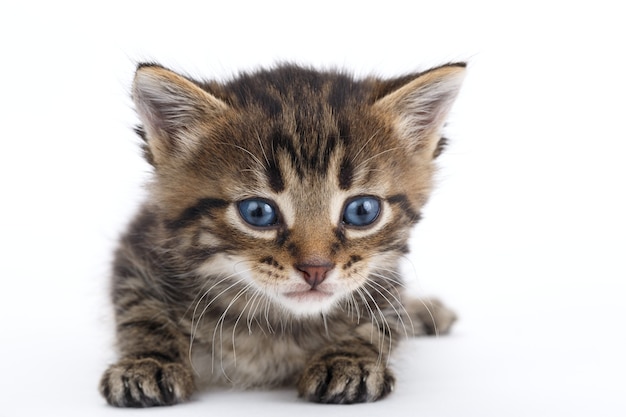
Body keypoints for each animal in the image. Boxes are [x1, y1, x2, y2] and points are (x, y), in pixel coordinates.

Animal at [98, 62, 464, 406]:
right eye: (257, 213)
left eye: (362, 210)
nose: (316, 269)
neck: (276, 324)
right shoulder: (138, 248)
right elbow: (140, 310)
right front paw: (148, 361)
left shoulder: (384, 277)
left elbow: (385, 317)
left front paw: (349, 358)